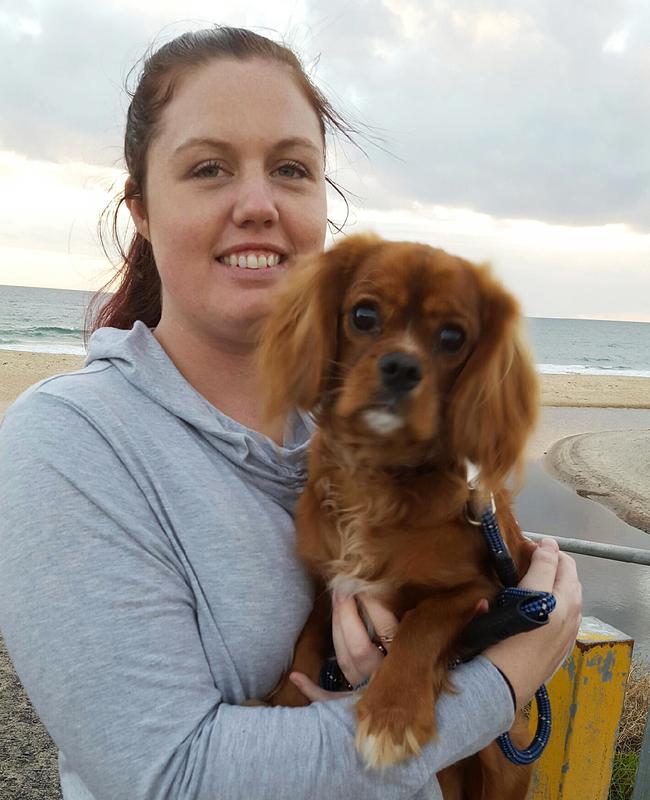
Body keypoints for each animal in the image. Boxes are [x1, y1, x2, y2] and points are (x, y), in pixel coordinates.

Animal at [256, 234, 536, 796]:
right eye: (363, 315)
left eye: (452, 337)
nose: (402, 367)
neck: (375, 478)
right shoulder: (330, 583)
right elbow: (306, 642)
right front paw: (289, 700)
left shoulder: (481, 590)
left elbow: (422, 623)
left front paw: (393, 715)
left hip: (504, 763)